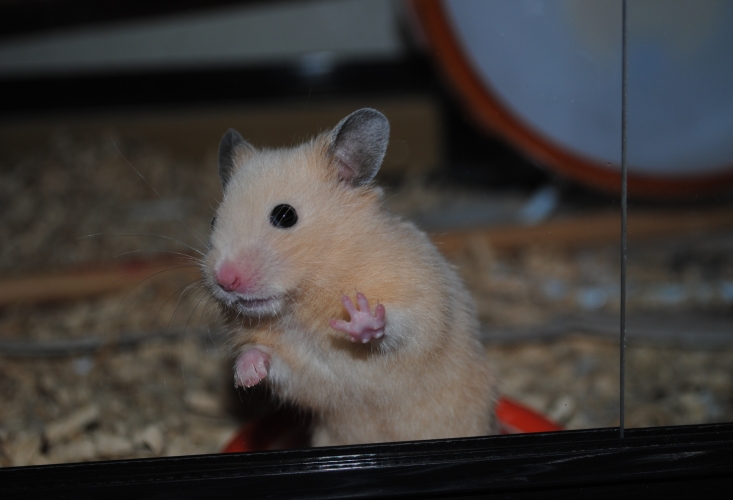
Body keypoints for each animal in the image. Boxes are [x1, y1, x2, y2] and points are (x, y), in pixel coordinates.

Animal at [204, 108, 497, 446]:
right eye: (213, 221)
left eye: (285, 215)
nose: (225, 280)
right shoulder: (300, 370)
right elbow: (266, 357)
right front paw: (246, 374)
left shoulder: (421, 299)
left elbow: (400, 323)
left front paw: (359, 319)